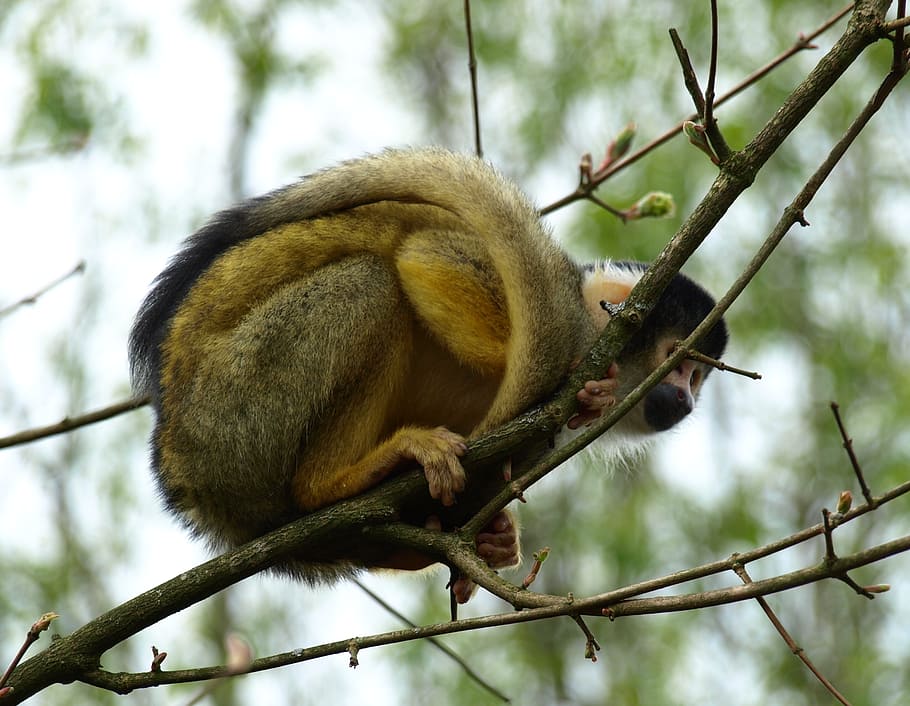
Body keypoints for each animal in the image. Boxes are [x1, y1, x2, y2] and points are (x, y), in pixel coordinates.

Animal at [129, 147, 727, 602]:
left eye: (698, 379)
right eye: (680, 362)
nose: (686, 400)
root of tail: (180, 467)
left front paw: (495, 540)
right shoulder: (565, 316)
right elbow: (426, 257)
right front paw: (585, 391)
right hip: (235, 407)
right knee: (372, 282)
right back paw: (332, 483)